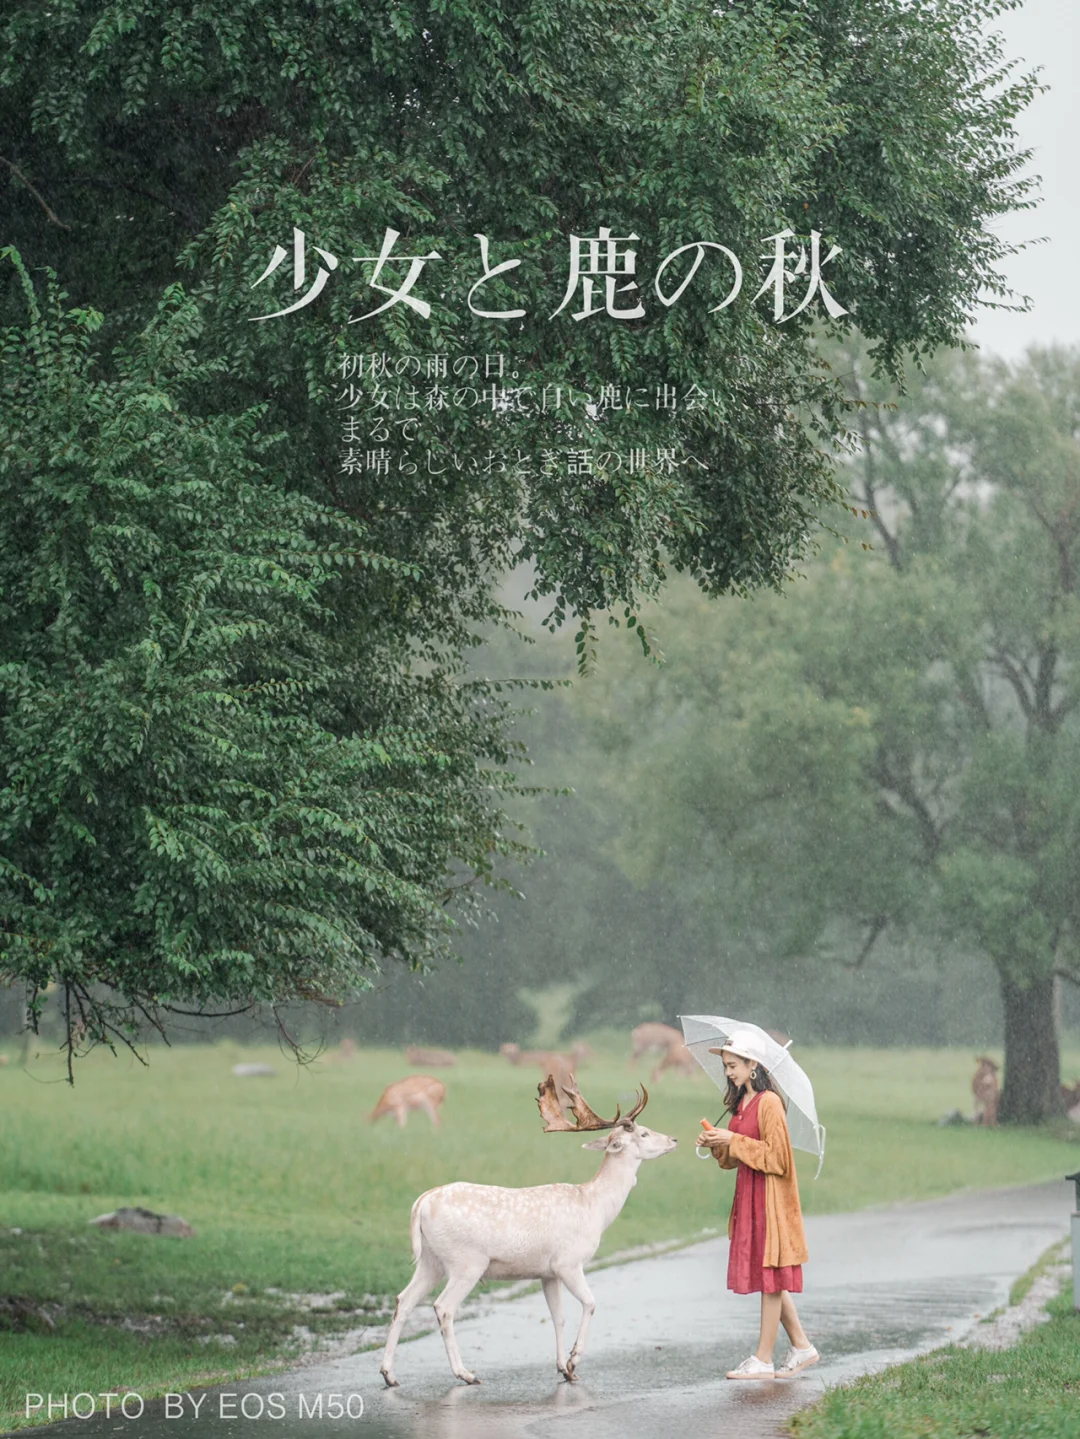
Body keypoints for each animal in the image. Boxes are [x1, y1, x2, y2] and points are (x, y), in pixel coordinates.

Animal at [379, 1075, 676, 1388]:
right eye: (643, 1133)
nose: (674, 1140)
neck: (595, 1208)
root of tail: (421, 1203)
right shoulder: (568, 1262)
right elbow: (591, 1303)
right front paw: (574, 1359)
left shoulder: (548, 1272)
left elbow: (558, 1317)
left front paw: (564, 1369)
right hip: (466, 1261)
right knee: (443, 1307)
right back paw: (466, 1374)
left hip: (430, 1260)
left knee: (403, 1300)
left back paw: (389, 1374)